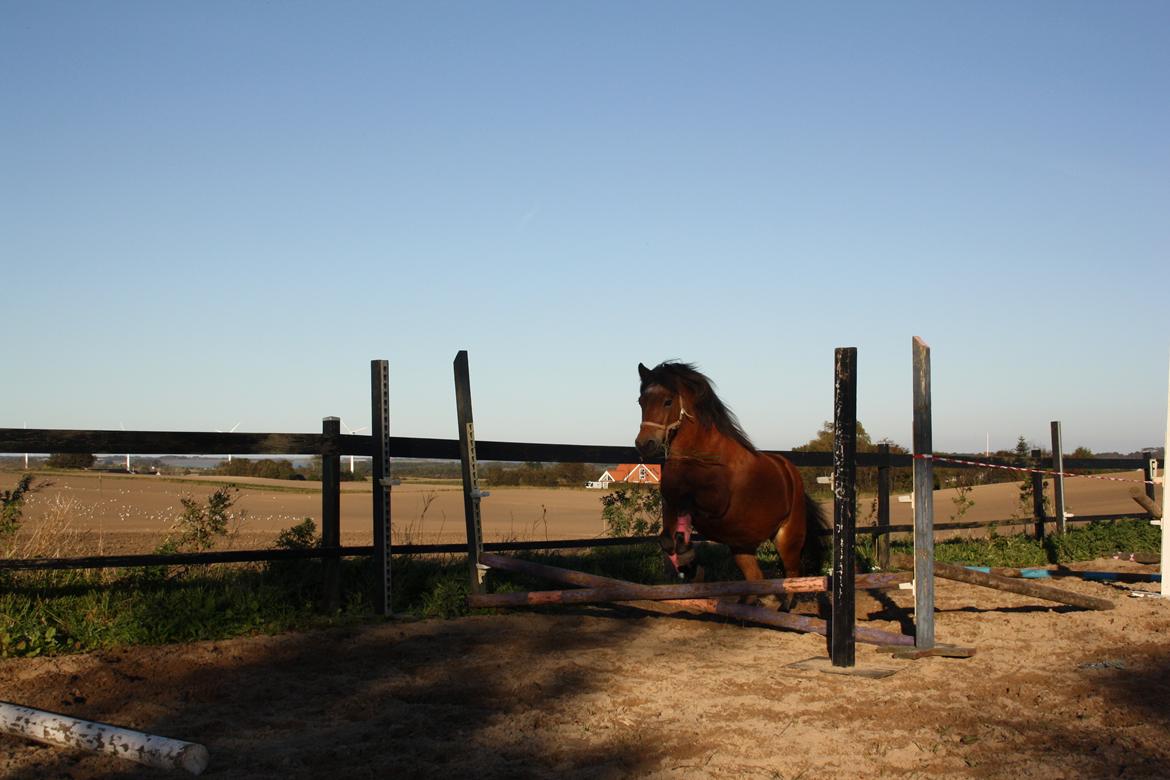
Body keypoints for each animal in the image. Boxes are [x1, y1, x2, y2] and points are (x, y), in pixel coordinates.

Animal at [641, 362, 823, 603]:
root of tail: (790, 471)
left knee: (792, 575)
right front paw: (688, 564)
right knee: (755, 577)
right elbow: (667, 539)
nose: (644, 444)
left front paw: (690, 561)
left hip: (787, 538)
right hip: (741, 546)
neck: (697, 457)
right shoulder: (670, 503)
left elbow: (687, 511)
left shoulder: (715, 504)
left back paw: (784, 604)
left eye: (667, 401)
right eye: (641, 401)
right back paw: (754, 601)